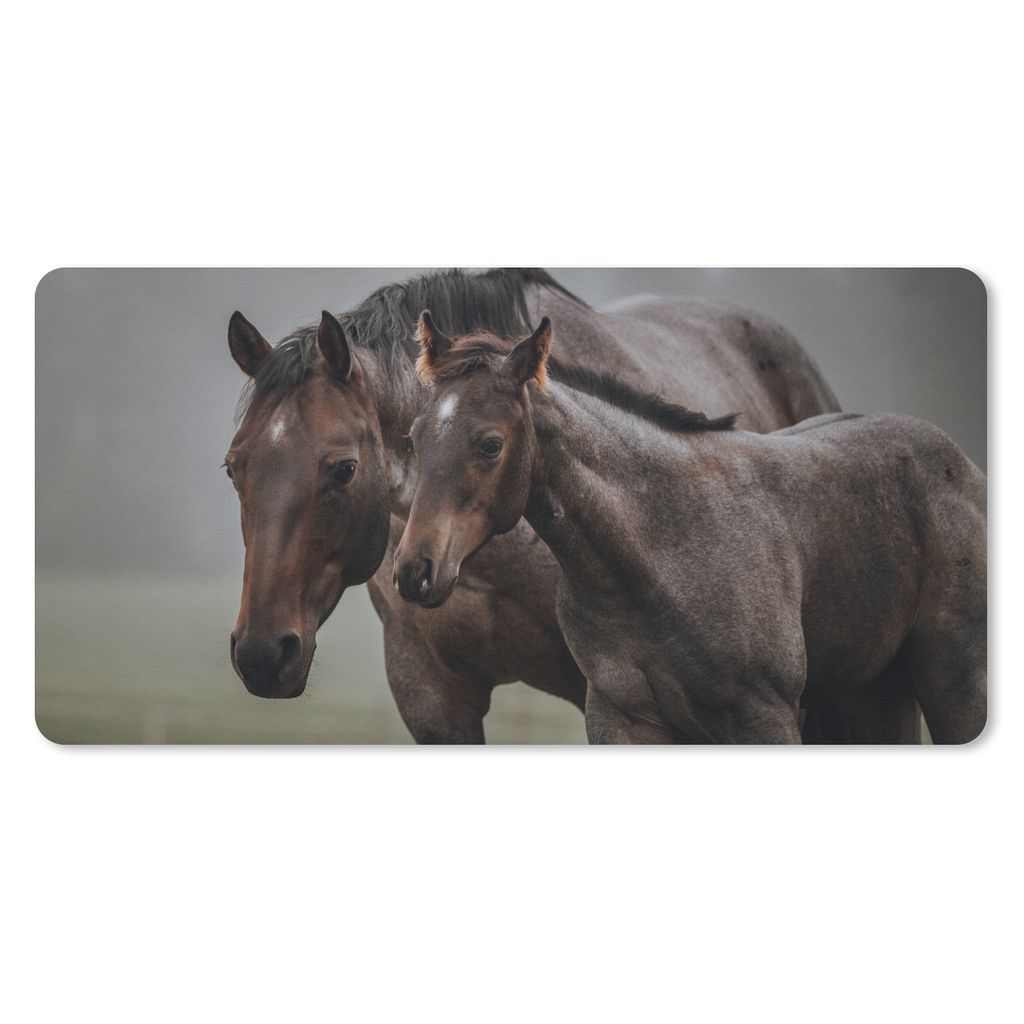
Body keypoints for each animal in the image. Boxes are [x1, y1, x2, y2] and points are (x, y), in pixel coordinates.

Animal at [393, 315, 986, 744]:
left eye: (490, 444)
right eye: (415, 437)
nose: (414, 572)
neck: (657, 552)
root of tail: (962, 465)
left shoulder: (766, 717)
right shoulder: (622, 721)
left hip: (954, 681)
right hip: (875, 692)